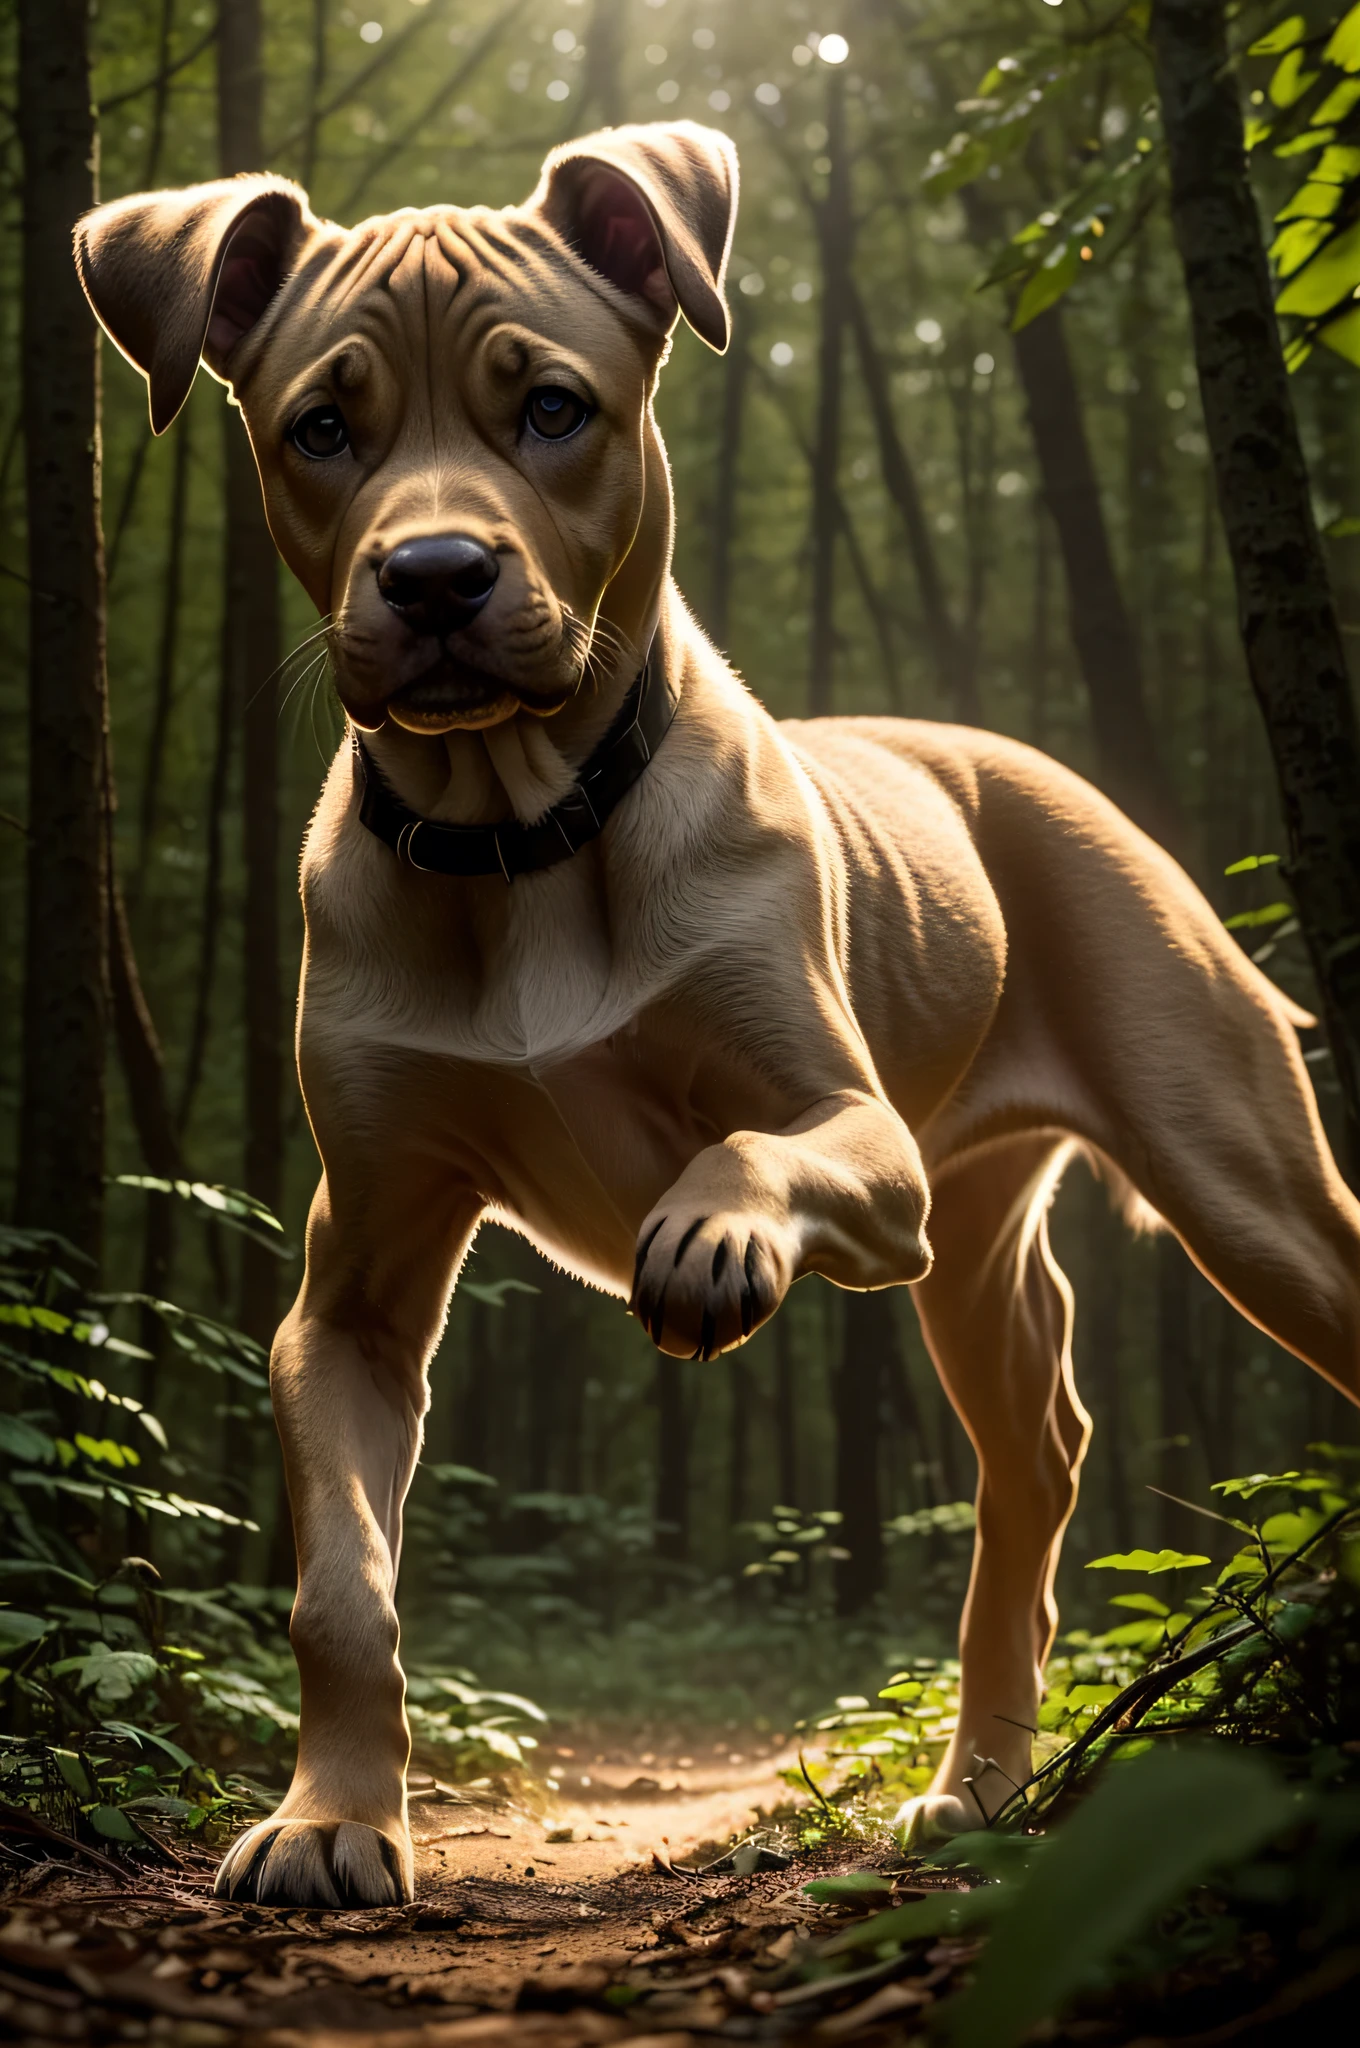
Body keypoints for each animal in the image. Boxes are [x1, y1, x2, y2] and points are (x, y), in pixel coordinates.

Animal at [76, 123, 1360, 1900]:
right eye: (319, 430)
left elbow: (753, 1149)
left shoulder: (862, 1141)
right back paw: (982, 1782)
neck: (522, 829)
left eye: (555, 409)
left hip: (1229, 1180)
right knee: (1036, 1453)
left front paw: (709, 1236)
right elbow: (342, 1584)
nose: (435, 575)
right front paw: (331, 1816)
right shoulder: (357, 1286)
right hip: (975, 1233)